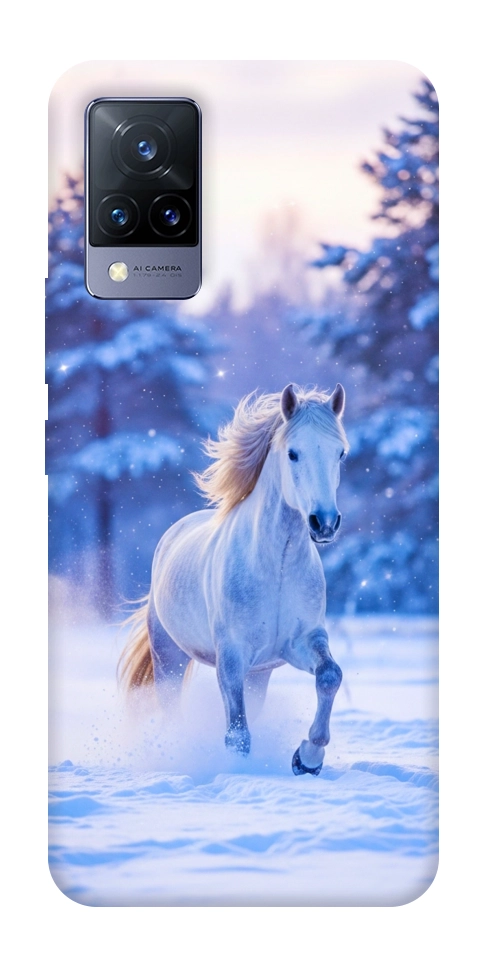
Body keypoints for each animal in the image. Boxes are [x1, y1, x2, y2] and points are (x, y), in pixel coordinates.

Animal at [119, 382, 348, 775]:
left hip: (259, 674)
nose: (324, 523)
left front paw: (307, 758)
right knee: (172, 709)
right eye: (293, 453)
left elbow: (330, 676)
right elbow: (237, 734)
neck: (276, 567)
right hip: (169, 658)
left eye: (340, 454)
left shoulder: (301, 642)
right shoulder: (231, 656)